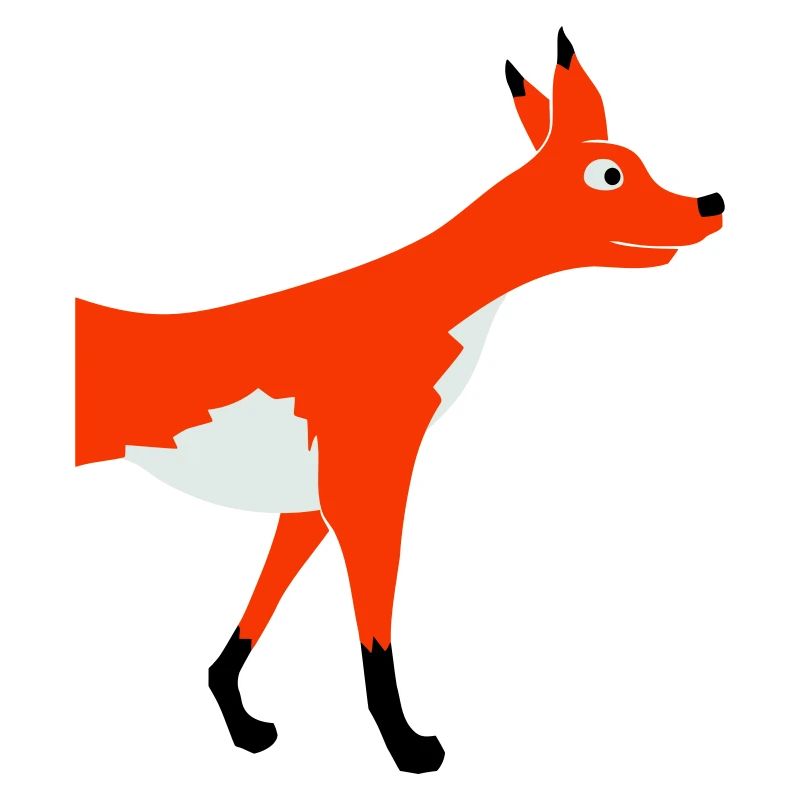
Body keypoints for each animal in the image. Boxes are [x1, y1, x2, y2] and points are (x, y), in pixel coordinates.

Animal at [75, 29, 724, 773]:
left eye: (642, 166)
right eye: (610, 175)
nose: (710, 202)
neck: (417, 306)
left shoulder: (311, 505)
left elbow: (249, 625)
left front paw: (239, 719)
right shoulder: (368, 491)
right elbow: (376, 639)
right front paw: (405, 746)